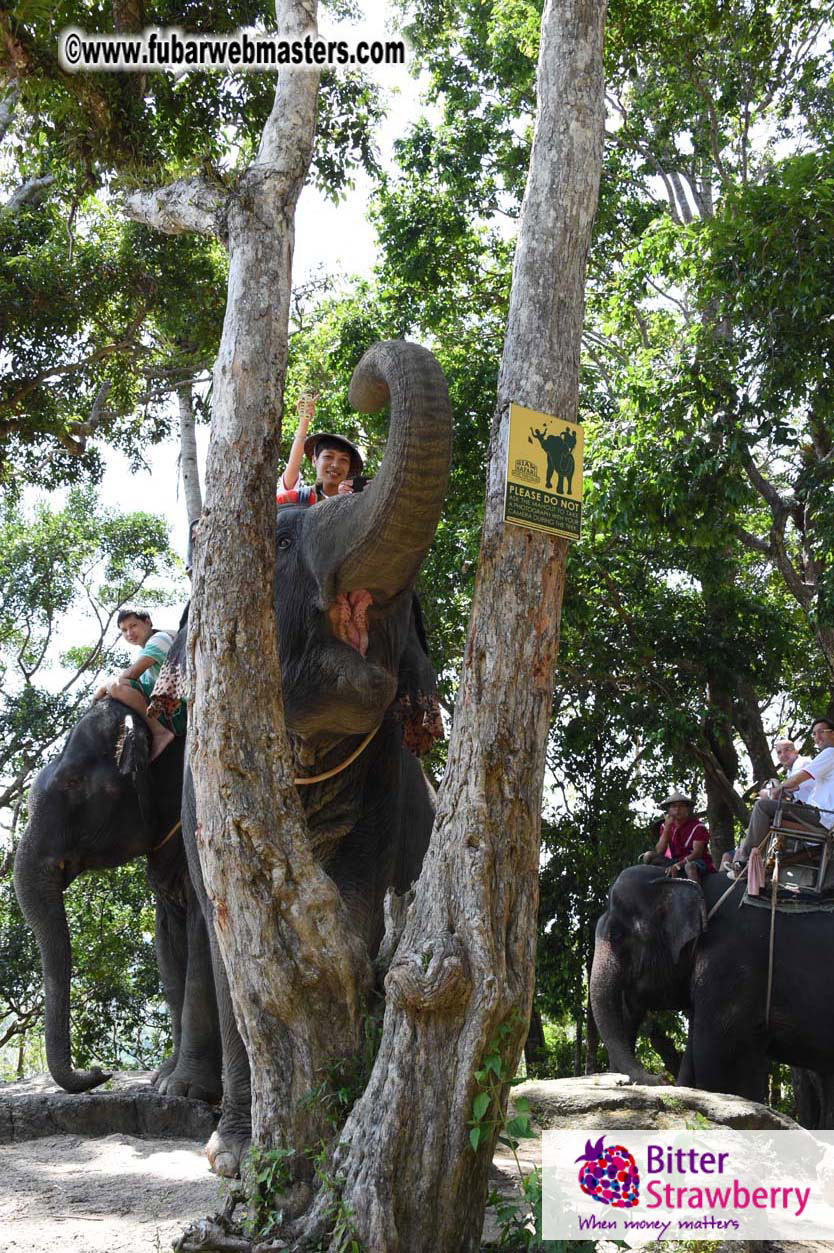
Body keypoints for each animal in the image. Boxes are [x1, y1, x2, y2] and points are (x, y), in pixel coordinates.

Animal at [13, 698, 221, 1100]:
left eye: (73, 782)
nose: (100, 1070)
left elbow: (204, 929)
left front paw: (184, 1090)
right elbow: (167, 943)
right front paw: (162, 1079)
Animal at [183, 339, 452, 1176]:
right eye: (276, 543)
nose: (366, 388)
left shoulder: (388, 776)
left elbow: (358, 908)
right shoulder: (200, 782)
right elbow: (226, 936)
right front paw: (233, 1151)